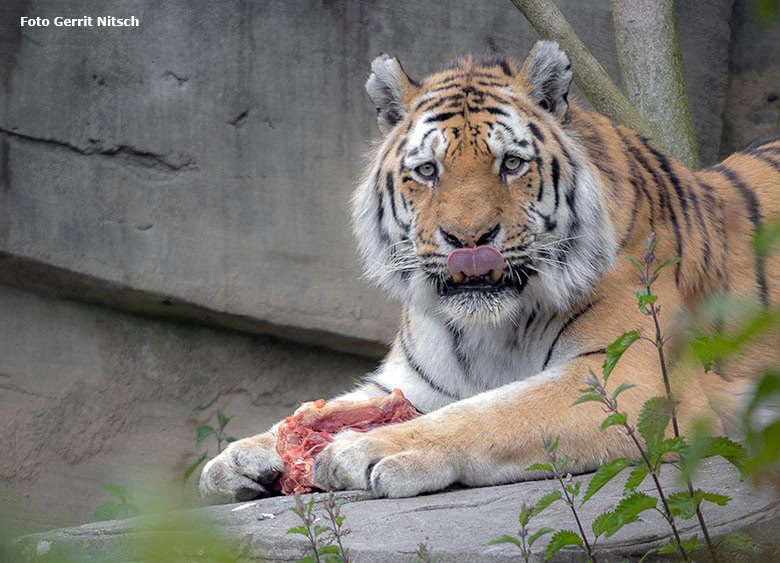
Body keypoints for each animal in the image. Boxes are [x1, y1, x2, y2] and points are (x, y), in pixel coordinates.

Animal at [201, 37, 780, 500]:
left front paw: (364, 449)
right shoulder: (409, 382)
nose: (469, 240)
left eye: (511, 164)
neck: (492, 329)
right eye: (427, 171)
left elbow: (489, 413)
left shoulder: (631, 377)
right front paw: (240, 455)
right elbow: (330, 406)